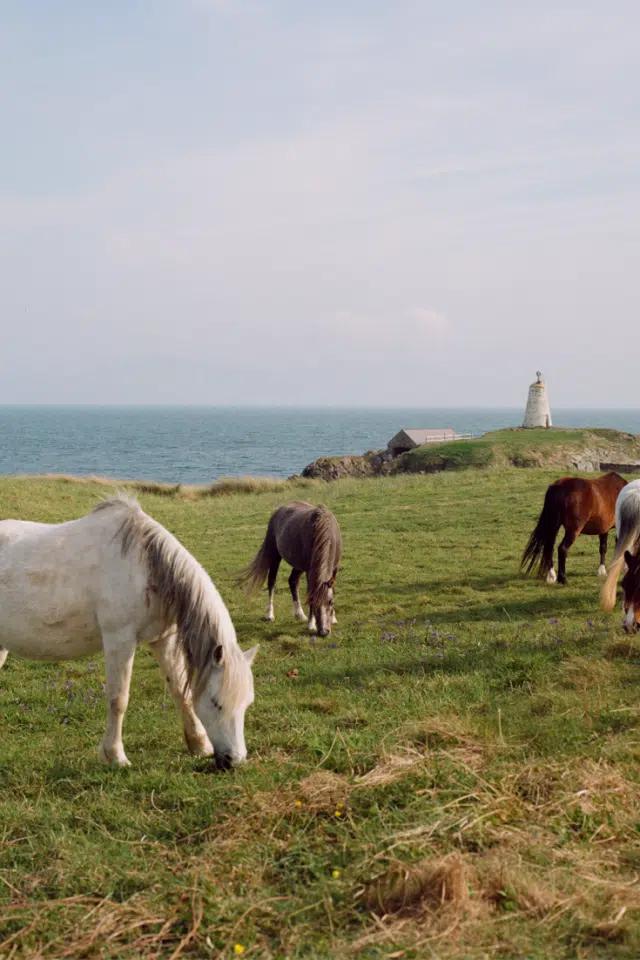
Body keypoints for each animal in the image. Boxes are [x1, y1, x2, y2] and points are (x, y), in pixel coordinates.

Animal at [0, 495, 258, 770]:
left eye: (246, 703)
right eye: (216, 703)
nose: (234, 760)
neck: (145, 565)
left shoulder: (163, 640)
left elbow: (181, 691)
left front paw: (199, 745)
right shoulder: (120, 640)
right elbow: (118, 699)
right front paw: (115, 755)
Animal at [239, 501, 342, 637]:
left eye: (330, 602)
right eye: (312, 601)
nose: (324, 632)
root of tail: (279, 510)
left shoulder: (334, 568)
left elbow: (332, 588)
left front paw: (333, 617)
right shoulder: (310, 571)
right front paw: (311, 624)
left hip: (298, 565)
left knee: (293, 581)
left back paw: (299, 614)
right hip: (275, 555)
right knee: (271, 582)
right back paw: (270, 614)